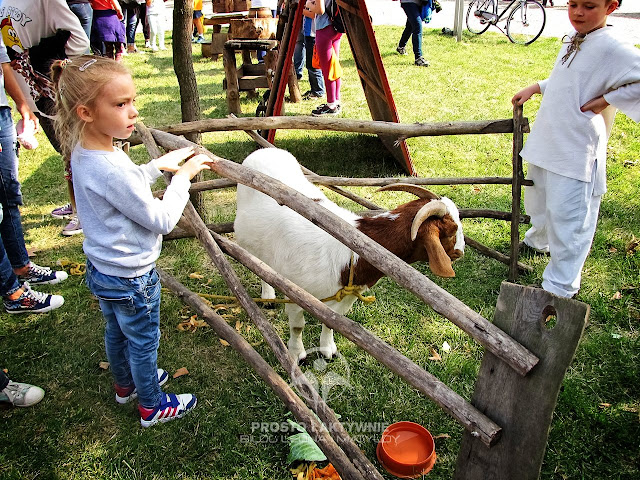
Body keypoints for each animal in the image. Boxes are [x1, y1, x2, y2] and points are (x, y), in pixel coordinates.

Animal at [232, 148, 462, 362]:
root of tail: (265, 150)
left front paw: (328, 350)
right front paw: (297, 355)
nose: (460, 252)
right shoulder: (295, 294)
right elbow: (298, 327)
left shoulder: (341, 299)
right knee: (260, 264)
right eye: (451, 231)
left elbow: (330, 323)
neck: (351, 253)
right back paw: (268, 296)